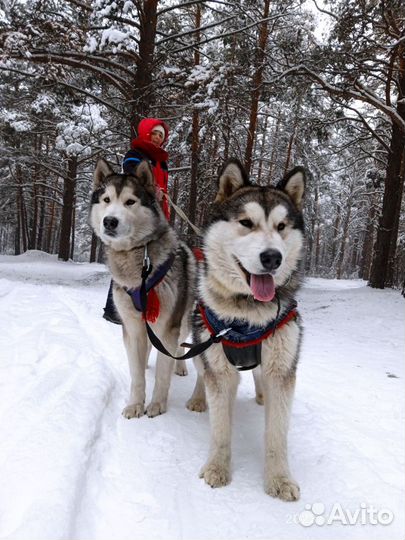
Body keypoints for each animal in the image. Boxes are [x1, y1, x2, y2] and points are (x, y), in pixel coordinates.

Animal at [90, 158, 195, 420]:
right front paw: (135, 404)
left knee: (180, 345)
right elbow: (136, 374)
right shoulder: (132, 327)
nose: (110, 221)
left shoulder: (167, 327)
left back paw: (179, 366)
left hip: (182, 319)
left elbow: (163, 373)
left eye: (130, 201)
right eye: (106, 199)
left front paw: (156, 405)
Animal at [185, 159, 304, 502]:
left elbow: (277, 434)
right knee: (201, 373)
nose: (272, 257)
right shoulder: (217, 365)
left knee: (259, 375)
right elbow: (221, 429)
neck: (247, 316)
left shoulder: (282, 366)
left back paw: (261, 394)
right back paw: (198, 399)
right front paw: (217, 468)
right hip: (199, 343)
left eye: (282, 226)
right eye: (246, 223)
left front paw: (279, 479)